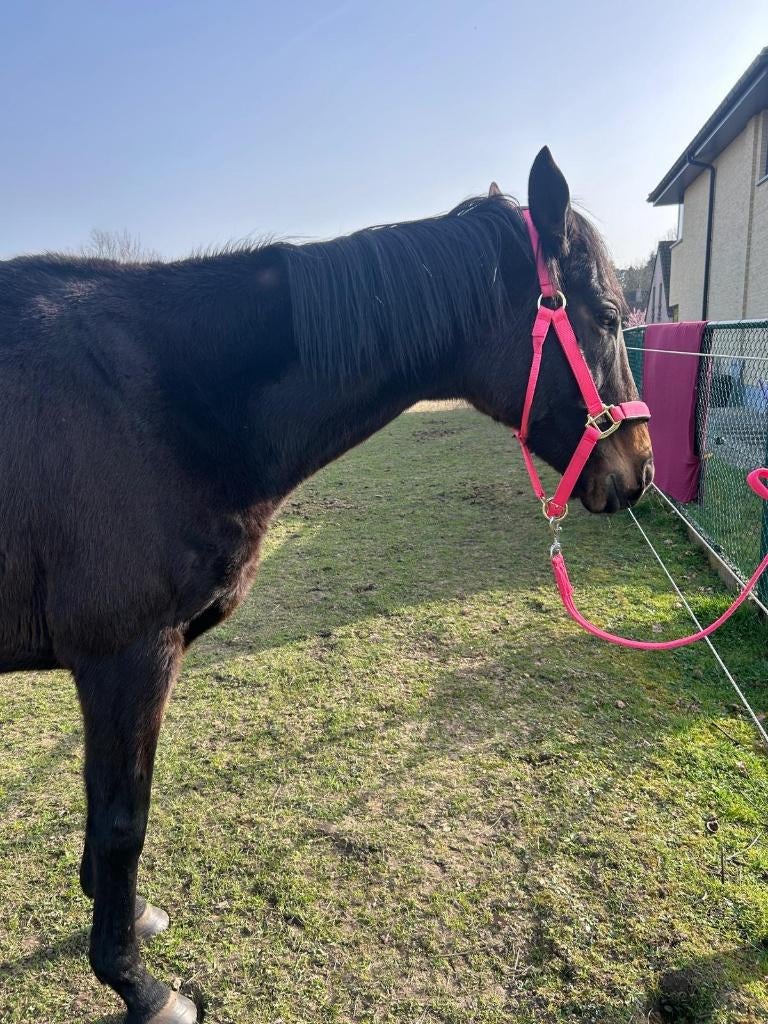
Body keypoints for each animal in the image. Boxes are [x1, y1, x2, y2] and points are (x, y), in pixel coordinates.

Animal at [0, 147, 653, 1023]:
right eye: (610, 317)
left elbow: (105, 804)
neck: (157, 397)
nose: (640, 469)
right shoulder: (126, 657)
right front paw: (137, 983)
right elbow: (120, 820)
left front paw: (123, 912)